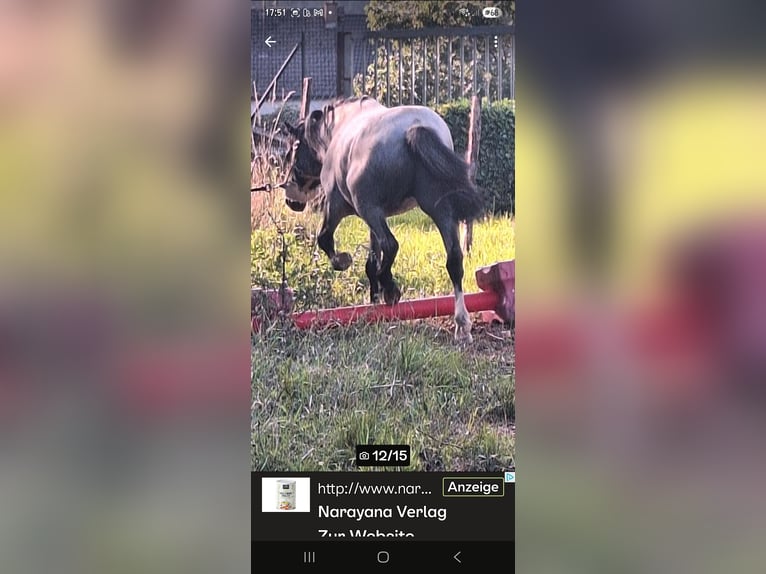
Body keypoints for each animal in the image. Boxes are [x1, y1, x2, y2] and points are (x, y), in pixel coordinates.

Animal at [280, 96, 484, 343]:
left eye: (292, 151)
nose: (292, 201)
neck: (336, 130)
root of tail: (415, 127)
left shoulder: (339, 207)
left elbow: (325, 239)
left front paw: (344, 262)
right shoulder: (374, 219)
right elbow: (371, 262)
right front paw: (373, 303)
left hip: (371, 209)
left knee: (391, 244)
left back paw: (391, 289)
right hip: (439, 209)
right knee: (454, 259)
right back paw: (462, 325)